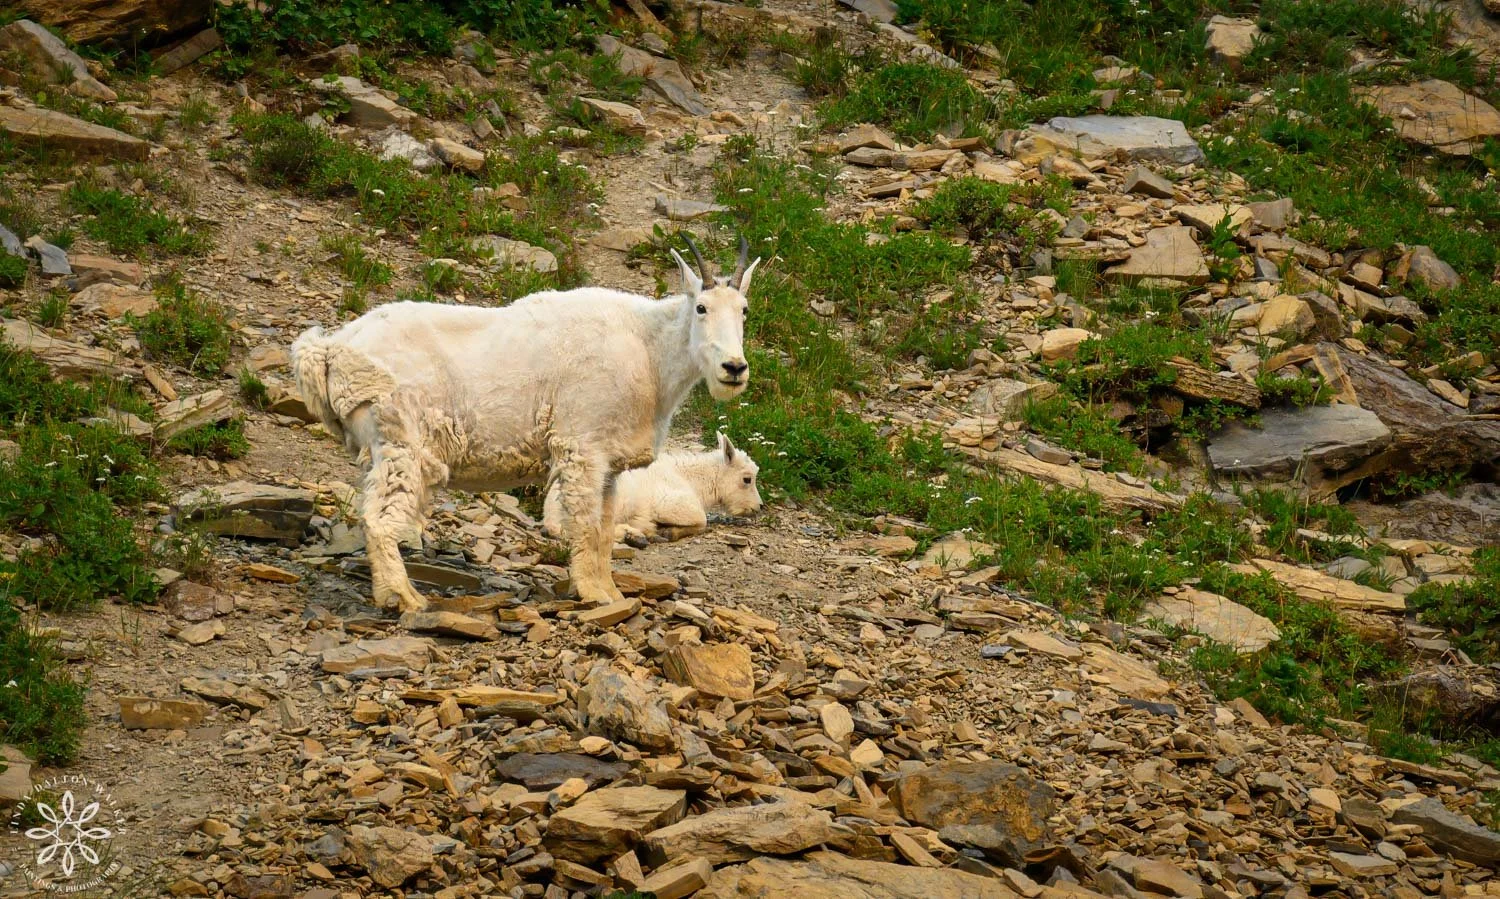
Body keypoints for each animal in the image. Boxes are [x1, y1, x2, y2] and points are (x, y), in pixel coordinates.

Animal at [542, 431, 762, 544]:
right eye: (747, 479)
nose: (758, 507)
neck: (692, 481)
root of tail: (549, 515)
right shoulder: (671, 504)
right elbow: (702, 521)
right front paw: (668, 532)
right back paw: (636, 534)